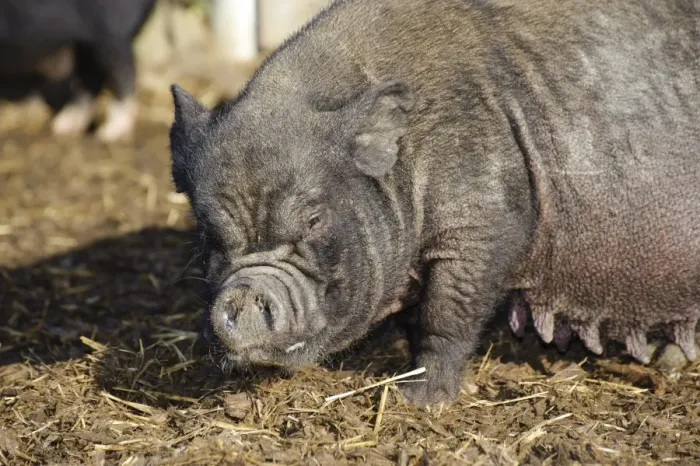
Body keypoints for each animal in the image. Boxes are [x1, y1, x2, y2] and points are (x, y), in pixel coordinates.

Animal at [0, 0, 157, 141]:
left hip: (112, 34)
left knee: (122, 73)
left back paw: (108, 134)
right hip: (85, 46)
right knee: (91, 79)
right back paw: (62, 126)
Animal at [168, 0, 700, 406]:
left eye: (314, 219)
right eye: (208, 233)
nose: (242, 292)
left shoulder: (484, 224)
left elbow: (446, 314)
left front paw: (419, 401)